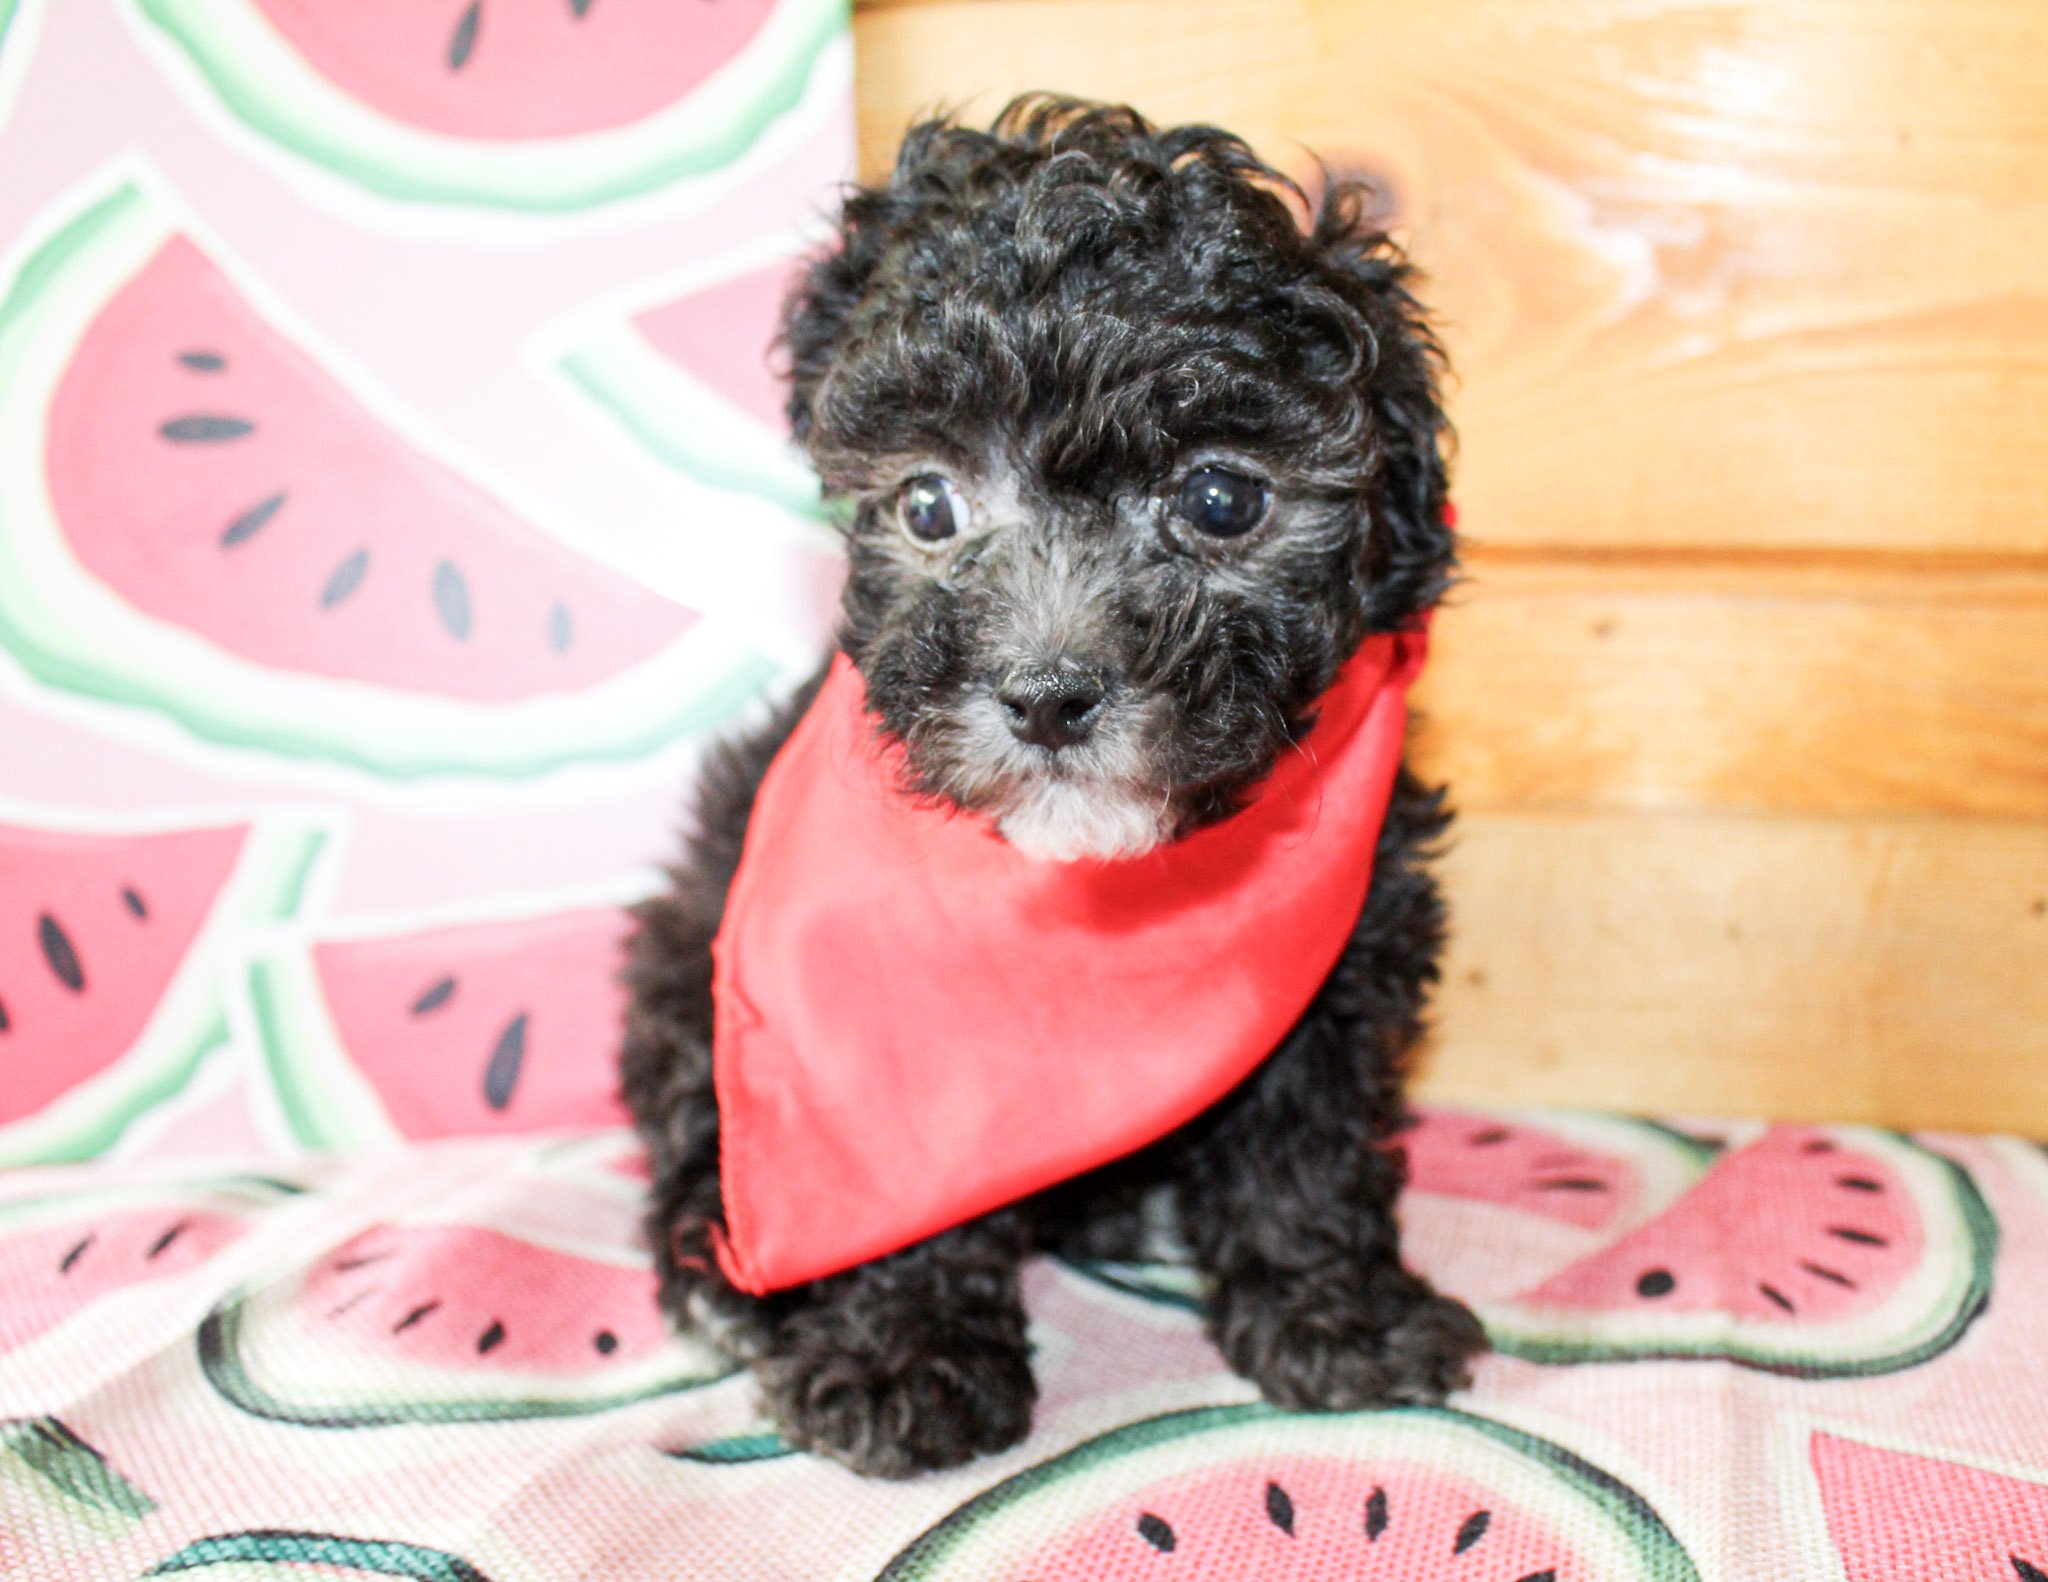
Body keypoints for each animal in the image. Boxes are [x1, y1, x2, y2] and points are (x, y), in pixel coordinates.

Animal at [621, 95, 1486, 1479]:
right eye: (927, 504)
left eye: (1219, 496)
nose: (1044, 695)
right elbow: (900, 1176)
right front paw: (902, 1355)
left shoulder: (1352, 950)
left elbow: (1308, 1140)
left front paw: (1336, 1312)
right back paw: (722, 1272)